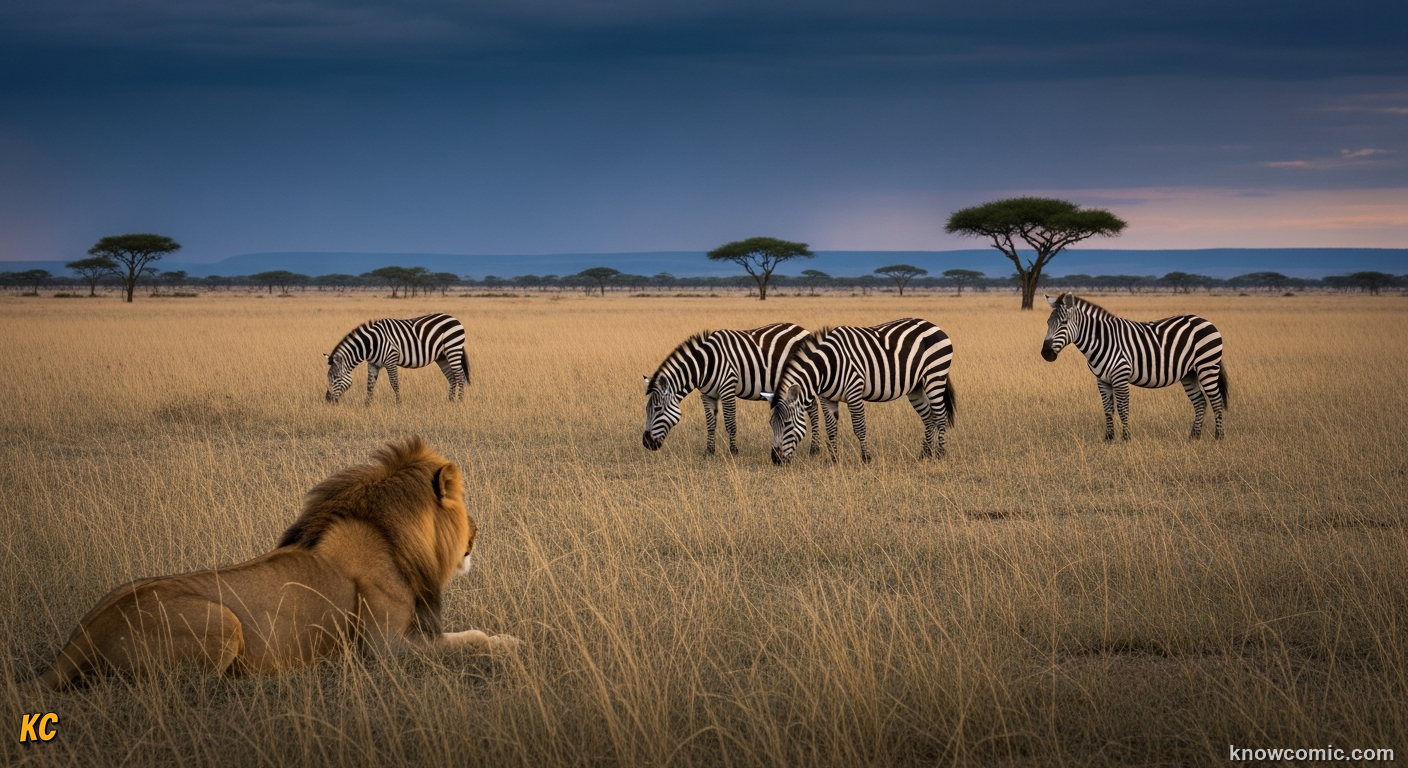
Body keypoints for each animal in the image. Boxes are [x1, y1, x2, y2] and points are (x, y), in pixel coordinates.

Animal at [324, 313, 470, 404]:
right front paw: (367, 405)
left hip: (453, 349)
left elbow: (394, 383)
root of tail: (453, 318)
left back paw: (460, 402)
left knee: (460, 376)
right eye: (328, 378)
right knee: (452, 377)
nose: (327, 400)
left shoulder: (391, 359)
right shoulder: (373, 363)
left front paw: (399, 403)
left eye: (336, 378)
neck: (371, 344)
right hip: (442, 357)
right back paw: (450, 401)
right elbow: (370, 385)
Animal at [643, 323, 821, 455]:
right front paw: (709, 451)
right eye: (646, 410)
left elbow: (730, 423)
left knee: (813, 410)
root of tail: (803, 330)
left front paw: (733, 451)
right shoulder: (707, 394)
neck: (705, 365)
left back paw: (814, 449)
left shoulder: (727, 388)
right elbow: (710, 423)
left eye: (657, 409)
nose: (646, 443)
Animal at [765, 318, 955, 464]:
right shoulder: (826, 398)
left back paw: (940, 455)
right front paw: (834, 460)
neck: (827, 367)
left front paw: (866, 458)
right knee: (928, 417)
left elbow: (859, 427)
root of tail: (932, 325)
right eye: (771, 424)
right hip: (916, 387)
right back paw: (925, 455)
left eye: (787, 424)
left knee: (940, 415)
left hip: (935, 377)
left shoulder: (854, 391)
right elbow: (831, 428)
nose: (776, 460)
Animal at [1040, 293, 1227, 440]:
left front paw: (1126, 438)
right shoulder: (1102, 380)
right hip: (1189, 374)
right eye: (1048, 322)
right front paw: (1109, 438)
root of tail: (1205, 321)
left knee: (1216, 401)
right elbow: (1108, 410)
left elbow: (1123, 409)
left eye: (1064, 323)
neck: (1103, 340)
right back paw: (1194, 437)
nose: (1046, 353)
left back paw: (1218, 437)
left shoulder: (1120, 376)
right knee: (1200, 402)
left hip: (1207, 366)